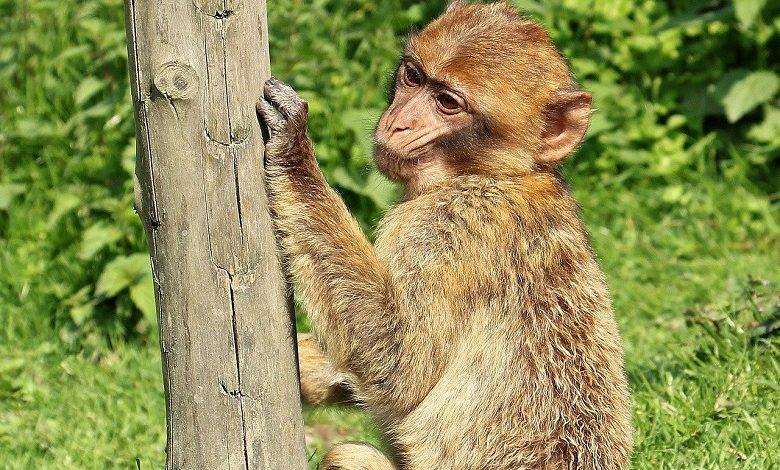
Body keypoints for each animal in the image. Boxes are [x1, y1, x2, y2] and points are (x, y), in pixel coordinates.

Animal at [256, 1, 633, 469]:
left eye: (448, 102)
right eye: (414, 77)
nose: (398, 123)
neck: (494, 174)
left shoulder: (448, 227)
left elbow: (398, 363)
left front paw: (294, 150)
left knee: (349, 453)